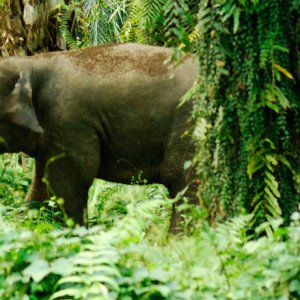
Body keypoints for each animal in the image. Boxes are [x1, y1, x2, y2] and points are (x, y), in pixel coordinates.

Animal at [0, 43, 199, 233]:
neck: (31, 62)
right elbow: (41, 186)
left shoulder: (70, 122)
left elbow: (71, 182)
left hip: (189, 125)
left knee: (179, 178)